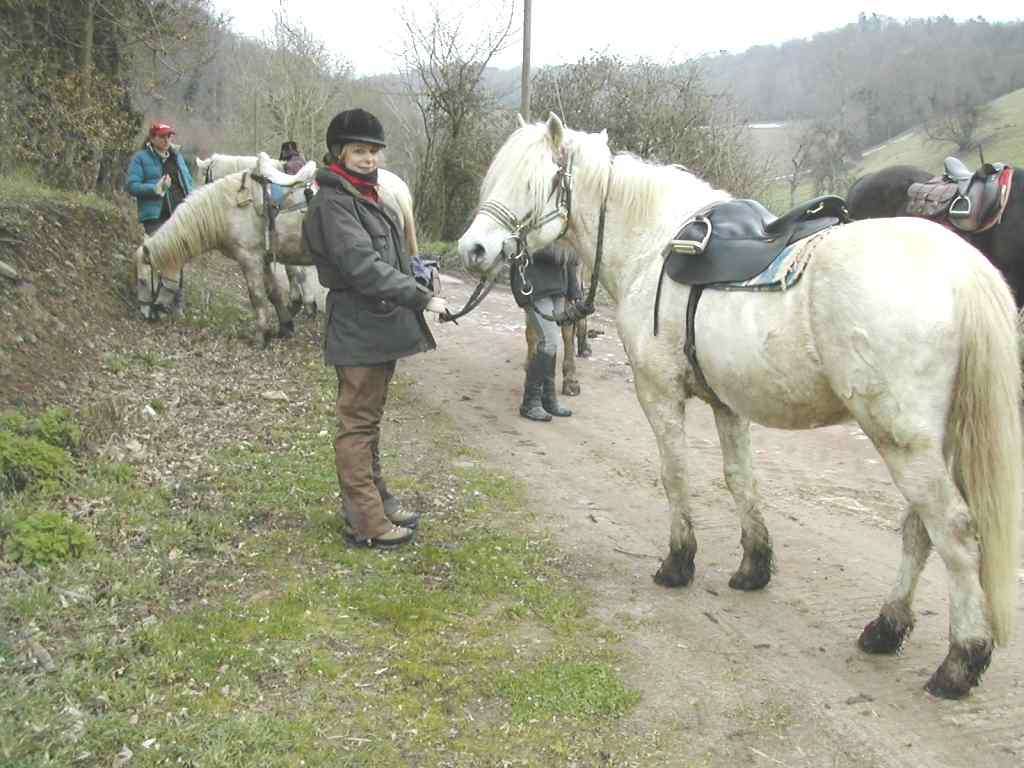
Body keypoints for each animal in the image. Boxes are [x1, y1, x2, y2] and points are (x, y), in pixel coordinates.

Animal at [140, 153, 419, 346]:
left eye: (143, 281)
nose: (147, 314)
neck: (232, 204)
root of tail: (400, 191)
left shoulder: (249, 259)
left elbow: (258, 296)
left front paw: (260, 336)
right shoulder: (263, 258)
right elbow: (274, 292)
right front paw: (285, 325)